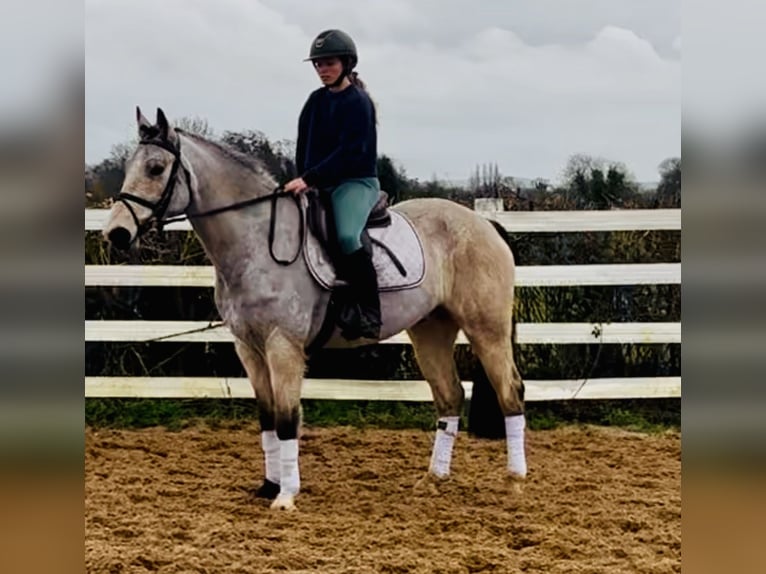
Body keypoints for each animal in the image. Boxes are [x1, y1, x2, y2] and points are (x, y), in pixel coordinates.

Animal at [102, 107, 527, 510]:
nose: (116, 234)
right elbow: (268, 419)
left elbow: (288, 420)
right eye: (130, 166)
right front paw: (268, 486)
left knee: (510, 392)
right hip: (430, 330)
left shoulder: (283, 345)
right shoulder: (248, 349)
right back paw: (434, 479)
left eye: (156, 168)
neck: (256, 243)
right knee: (450, 395)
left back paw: (514, 482)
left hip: (486, 329)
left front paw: (286, 496)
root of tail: (483, 224)